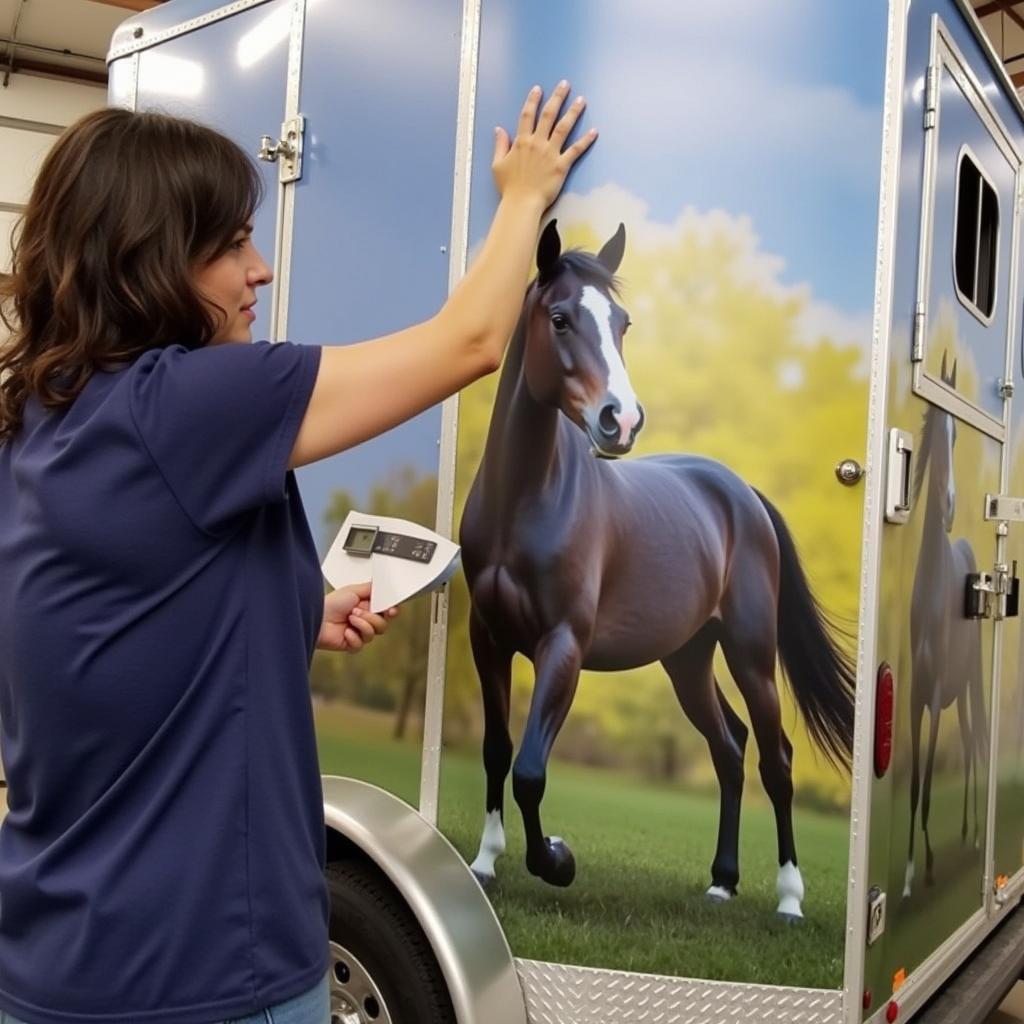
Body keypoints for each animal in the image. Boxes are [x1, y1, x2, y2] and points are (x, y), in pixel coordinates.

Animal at [458, 218, 856, 921]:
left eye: (623, 322)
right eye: (560, 318)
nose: (622, 420)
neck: (525, 502)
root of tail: (742, 494)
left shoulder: (563, 646)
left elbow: (531, 769)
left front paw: (555, 859)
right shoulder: (489, 640)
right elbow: (498, 751)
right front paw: (485, 863)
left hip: (751, 653)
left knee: (775, 758)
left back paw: (789, 898)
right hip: (688, 658)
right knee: (729, 748)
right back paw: (722, 881)